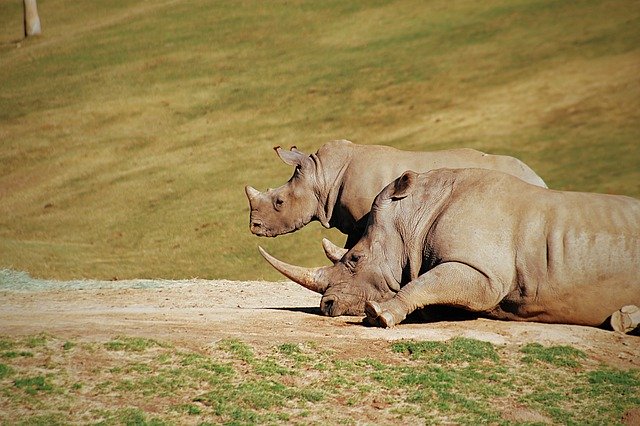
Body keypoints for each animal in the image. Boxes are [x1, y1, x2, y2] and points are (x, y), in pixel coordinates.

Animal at [258, 167, 640, 332]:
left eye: (355, 258)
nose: (327, 306)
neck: (415, 215)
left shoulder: (483, 273)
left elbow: (425, 283)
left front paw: (379, 315)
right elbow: (430, 287)